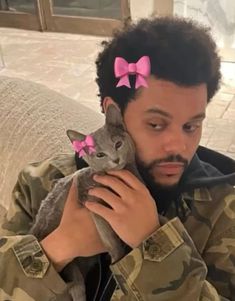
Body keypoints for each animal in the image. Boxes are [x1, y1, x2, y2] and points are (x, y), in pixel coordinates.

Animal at [30, 103, 142, 300]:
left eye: (118, 144)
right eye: (100, 154)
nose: (115, 159)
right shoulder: (92, 202)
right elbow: (109, 236)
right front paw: (118, 257)